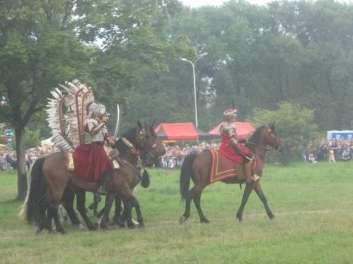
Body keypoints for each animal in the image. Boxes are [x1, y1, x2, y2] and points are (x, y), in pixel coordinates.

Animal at [24, 122, 164, 233]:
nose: (162, 151)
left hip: (61, 189)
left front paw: (108, 223)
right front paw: (138, 221)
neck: (123, 159)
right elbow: (133, 202)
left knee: (48, 203)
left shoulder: (113, 191)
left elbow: (111, 204)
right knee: (54, 205)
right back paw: (60, 228)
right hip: (59, 188)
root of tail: (45, 158)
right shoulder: (123, 189)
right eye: (149, 136)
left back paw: (47, 226)